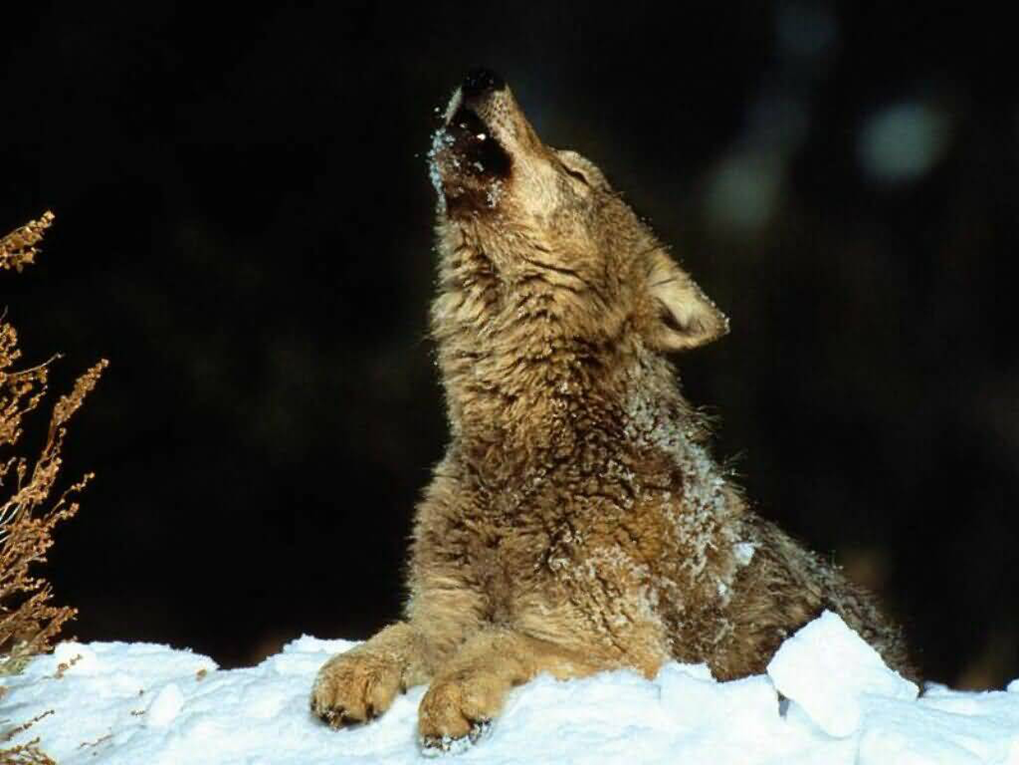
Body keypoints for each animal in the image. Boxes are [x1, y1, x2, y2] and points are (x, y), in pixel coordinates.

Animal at [311, 68, 917, 750]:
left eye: (576, 175)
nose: (482, 76)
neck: (525, 459)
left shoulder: (624, 650)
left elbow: (498, 640)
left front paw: (450, 701)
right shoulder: (445, 611)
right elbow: (400, 632)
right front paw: (353, 671)